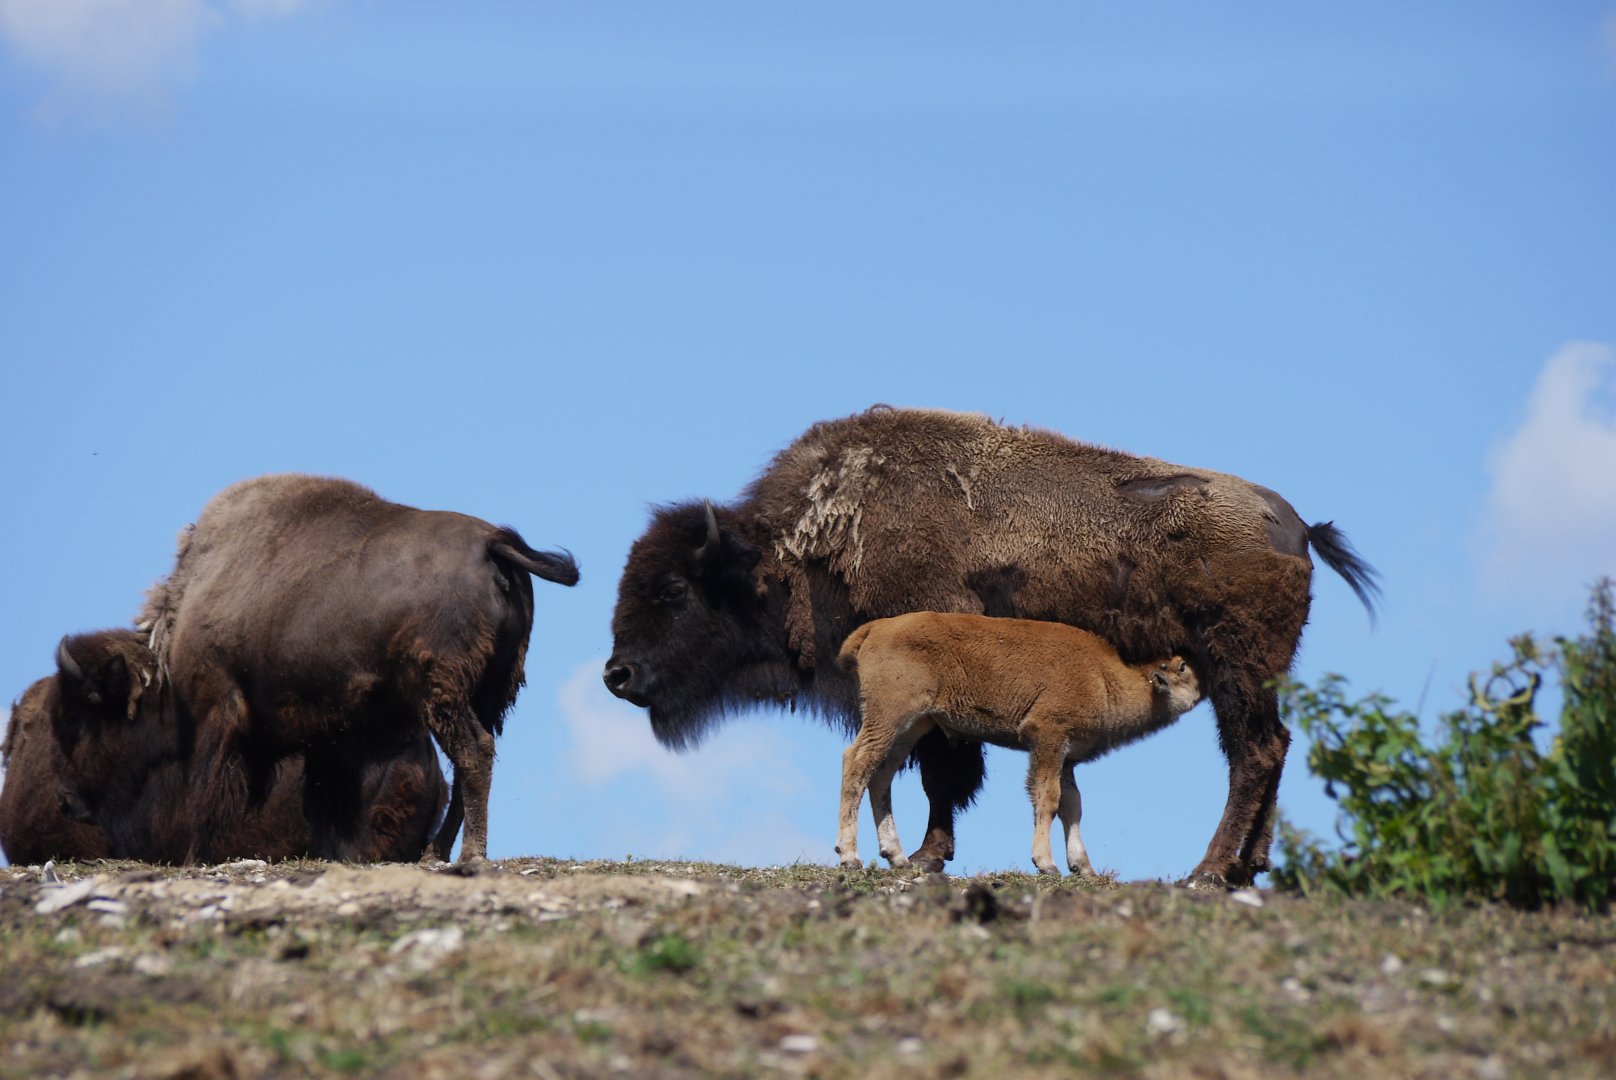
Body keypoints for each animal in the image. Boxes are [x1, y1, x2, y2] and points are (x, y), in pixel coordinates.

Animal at [137, 474, 579, 863]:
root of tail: (491, 543)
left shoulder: (222, 708)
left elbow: (209, 791)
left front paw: (193, 857)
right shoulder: (327, 735)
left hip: (444, 694)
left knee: (473, 753)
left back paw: (466, 852)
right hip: (488, 695)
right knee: (471, 759)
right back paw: (435, 852)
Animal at [605, 406, 1378, 885]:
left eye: (674, 590)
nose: (618, 674)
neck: (812, 541)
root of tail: (1296, 526)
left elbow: (944, 771)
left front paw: (927, 855)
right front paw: (925, 854)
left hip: (1235, 665)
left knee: (1253, 753)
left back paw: (1209, 871)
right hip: (1258, 673)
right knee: (1271, 748)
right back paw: (1248, 868)